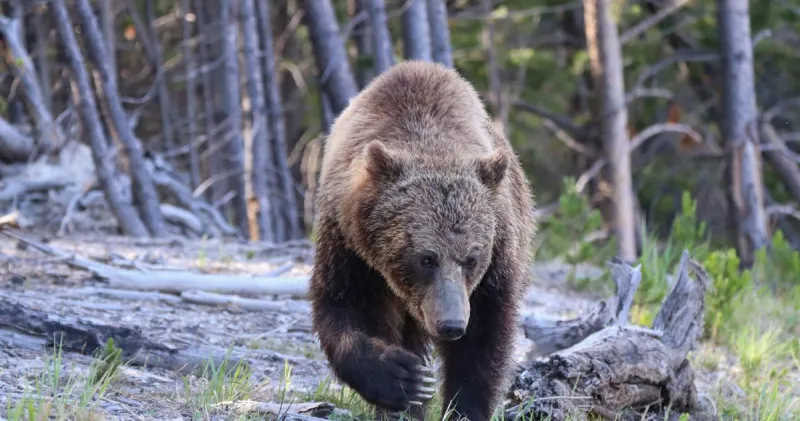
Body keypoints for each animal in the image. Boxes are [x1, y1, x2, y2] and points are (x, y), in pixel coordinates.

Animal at [309, 60, 536, 421]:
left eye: (472, 259)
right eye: (426, 258)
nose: (451, 324)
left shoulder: (498, 255)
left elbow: (483, 341)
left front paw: (463, 407)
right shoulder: (349, 245)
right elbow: (343, 306)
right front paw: (402, 379)